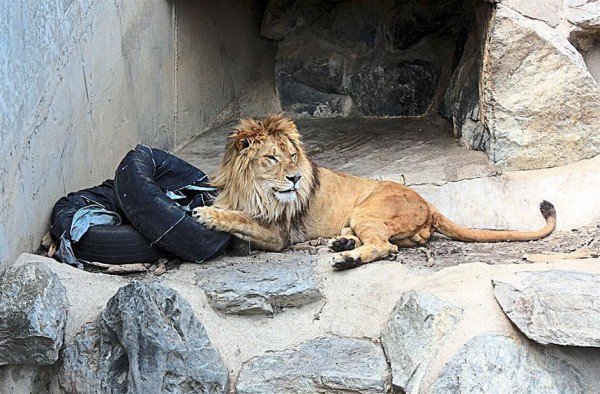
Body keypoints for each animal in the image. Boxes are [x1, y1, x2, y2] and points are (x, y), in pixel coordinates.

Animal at [193, 114, 556, 270]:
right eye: (271, 158)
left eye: (293, 155)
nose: (295, 178)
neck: (252, 188)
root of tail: (429, 204)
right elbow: (237, 213)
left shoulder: (278, 234)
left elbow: (239, 218)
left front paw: (206, 214)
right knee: (381, 243)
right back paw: (342, 244)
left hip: (366, 209)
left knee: (384, 246)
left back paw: (346, 258)